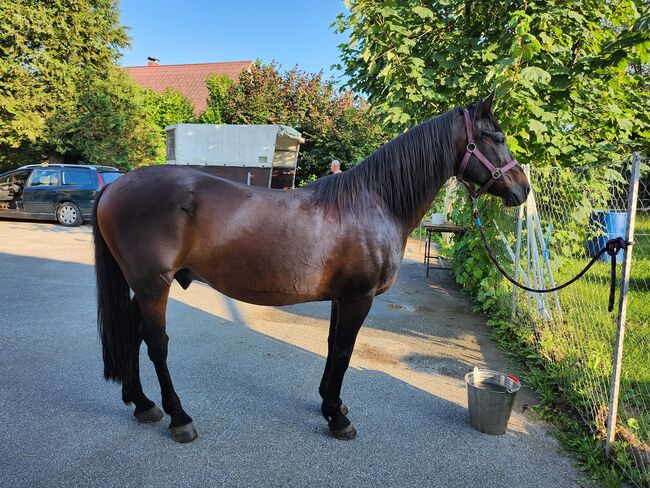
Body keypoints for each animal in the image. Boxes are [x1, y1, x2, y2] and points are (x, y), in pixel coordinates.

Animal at [92, 95, 528, 442]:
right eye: (496, 137)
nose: (522, 189)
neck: (374, 202)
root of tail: (114, 186)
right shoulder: (358, 298)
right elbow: (345, 351)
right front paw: (337, 419)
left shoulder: (341, 298)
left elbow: (333, 346)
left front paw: (330, 404)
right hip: (153, 285)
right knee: (157, 344)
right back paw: (179, 417)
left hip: (145, 287)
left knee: (132, 334)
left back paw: (142, 403)